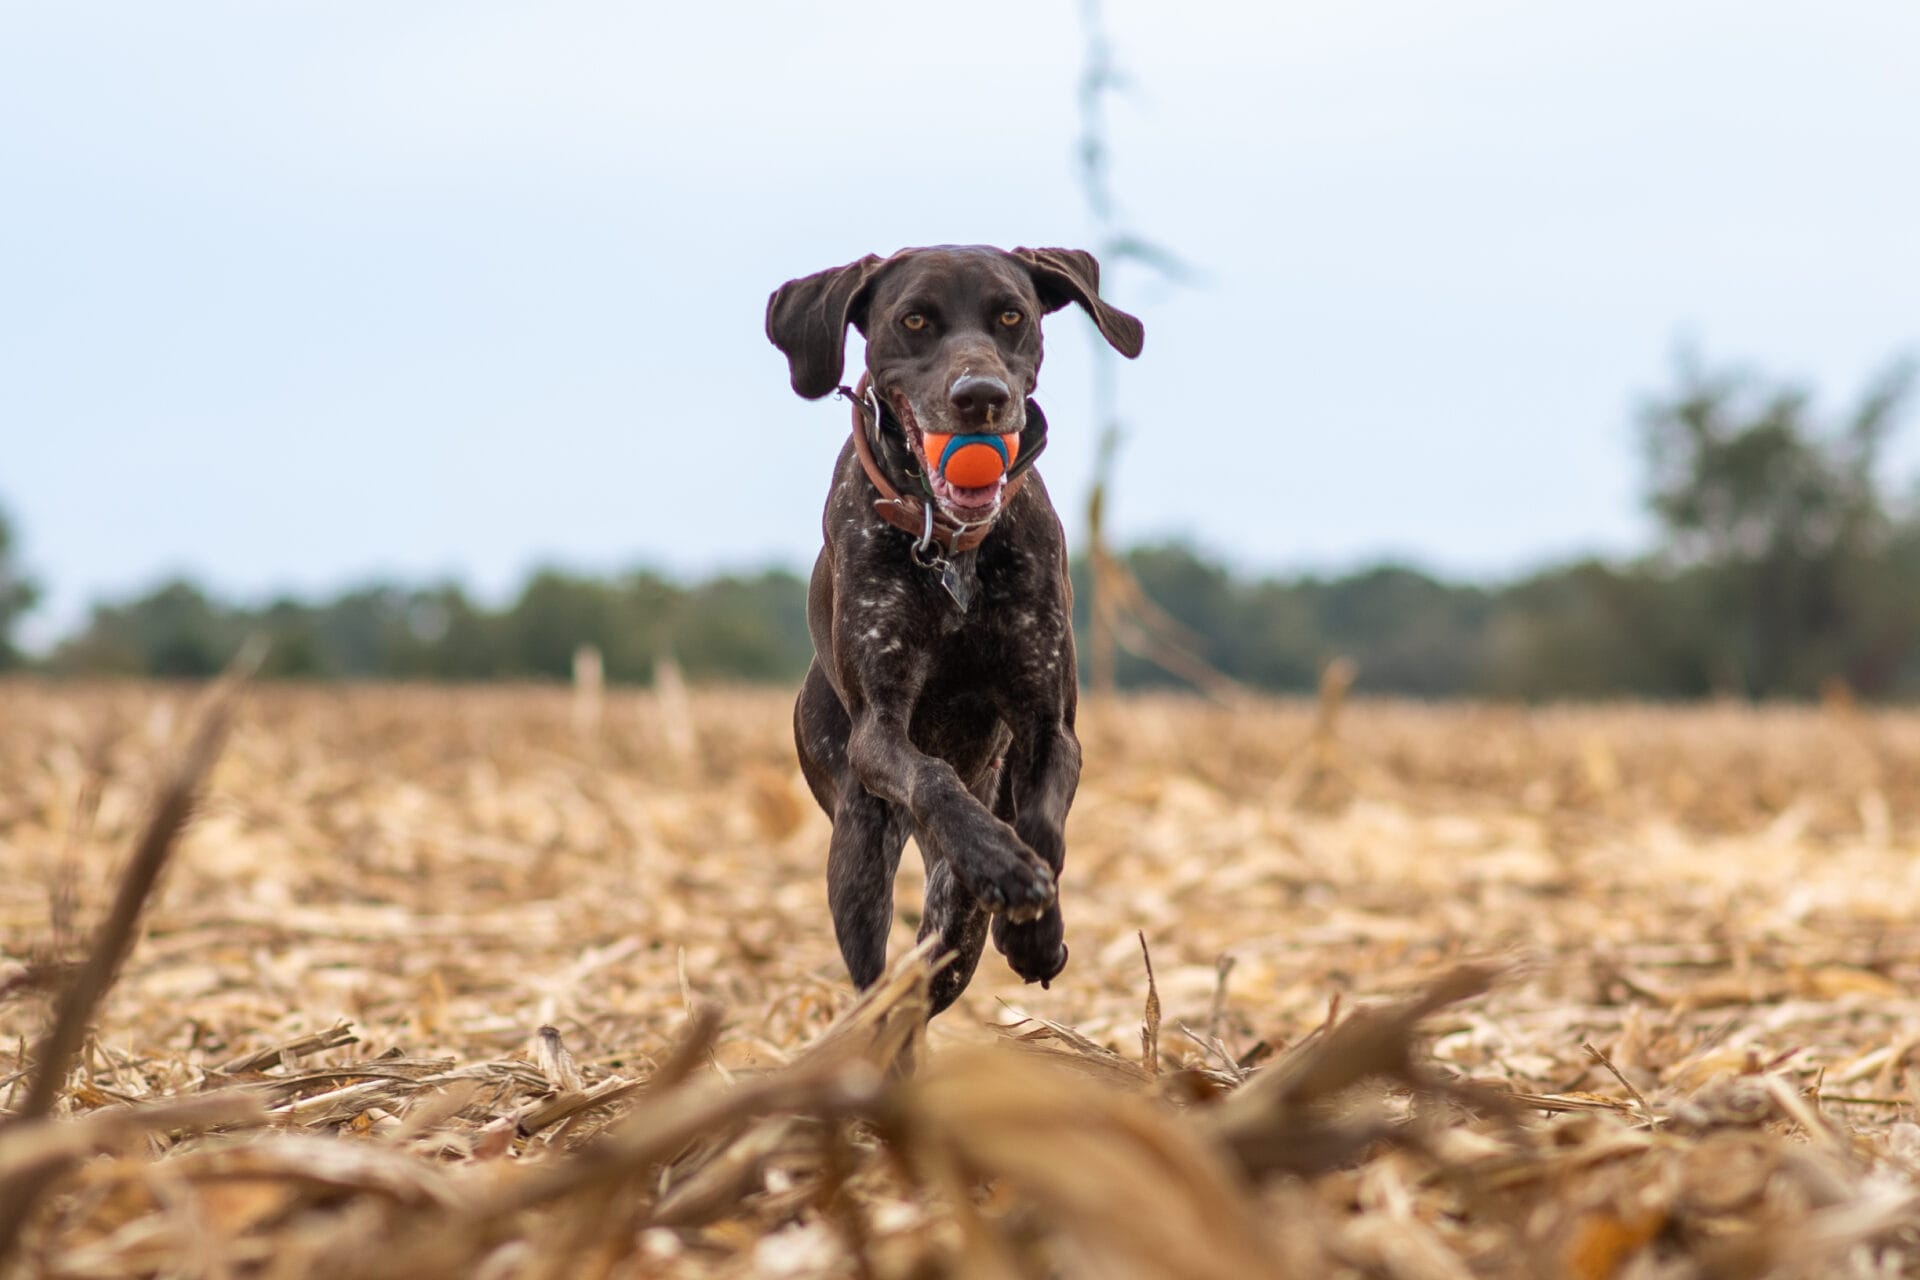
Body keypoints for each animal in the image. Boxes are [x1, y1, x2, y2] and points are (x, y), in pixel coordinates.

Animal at [764, 245, 1144, 1013]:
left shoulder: (1048, 724)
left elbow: (1043, 823)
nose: (980, 396)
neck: (952, 547)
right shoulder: (880, 730)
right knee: (877, 972)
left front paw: (1033, 927)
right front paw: (998, 861)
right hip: (857, 843)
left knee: (945, 939)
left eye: (1012, 316)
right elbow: (933, 777)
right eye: (914, 320)